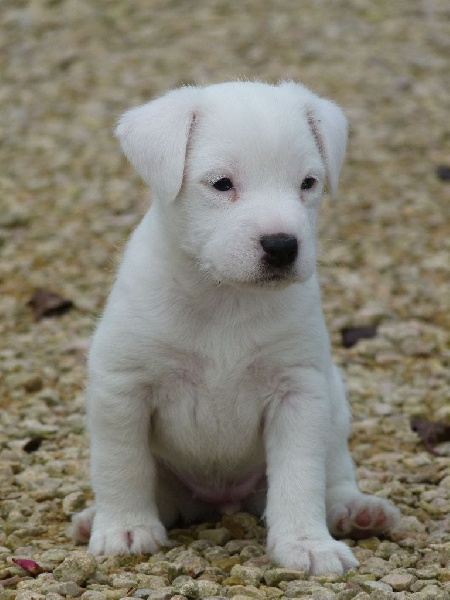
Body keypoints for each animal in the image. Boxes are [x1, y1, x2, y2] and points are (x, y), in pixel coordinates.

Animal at [72, 82, 400, 576]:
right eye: (222, 184)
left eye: (308, 183)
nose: (283, 246)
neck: (225, 298)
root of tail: (221, 501)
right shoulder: (123, 386)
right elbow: (122, 464)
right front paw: (125, 529)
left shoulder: (299, 393)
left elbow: (300, 476)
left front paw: (307, 544)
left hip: (335, 408)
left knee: (333, 475)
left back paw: (356, 510)